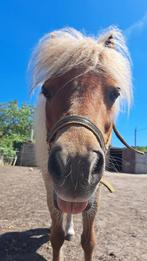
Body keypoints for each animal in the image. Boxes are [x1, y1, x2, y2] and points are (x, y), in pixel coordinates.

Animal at [28, 26, 131, 260]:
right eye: (46, 90)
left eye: (115, 93)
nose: (76, 164)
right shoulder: (50, 183)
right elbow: (56, 237)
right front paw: (59, 232)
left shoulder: (96, 188)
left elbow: (89, 240)